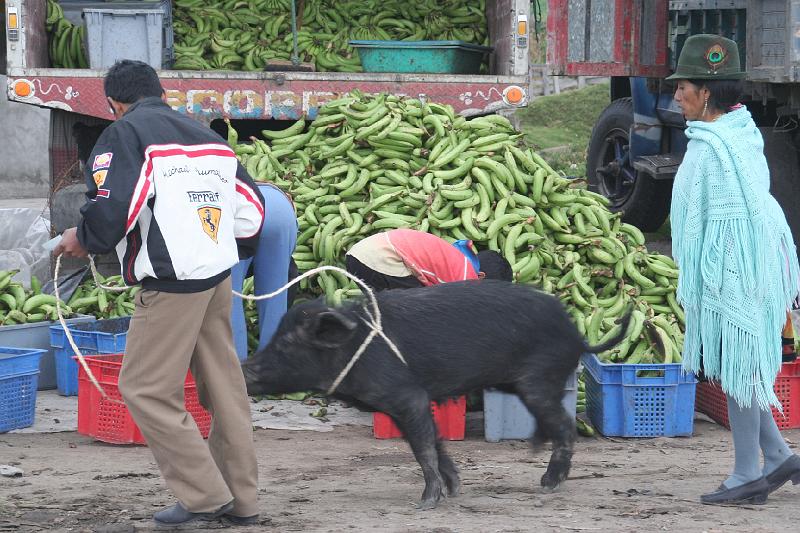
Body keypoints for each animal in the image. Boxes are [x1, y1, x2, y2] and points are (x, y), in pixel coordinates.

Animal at [244, 278, 632, 508]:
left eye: (288, 343)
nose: (245, 368)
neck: (355, 349)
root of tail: (576, 334)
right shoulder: (408, 404)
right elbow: (436, 441)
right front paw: (456, 488)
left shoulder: (406, 396)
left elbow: (423, 448)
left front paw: (426, 502)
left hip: (538, 381)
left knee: (565, 426)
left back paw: (548, 484)